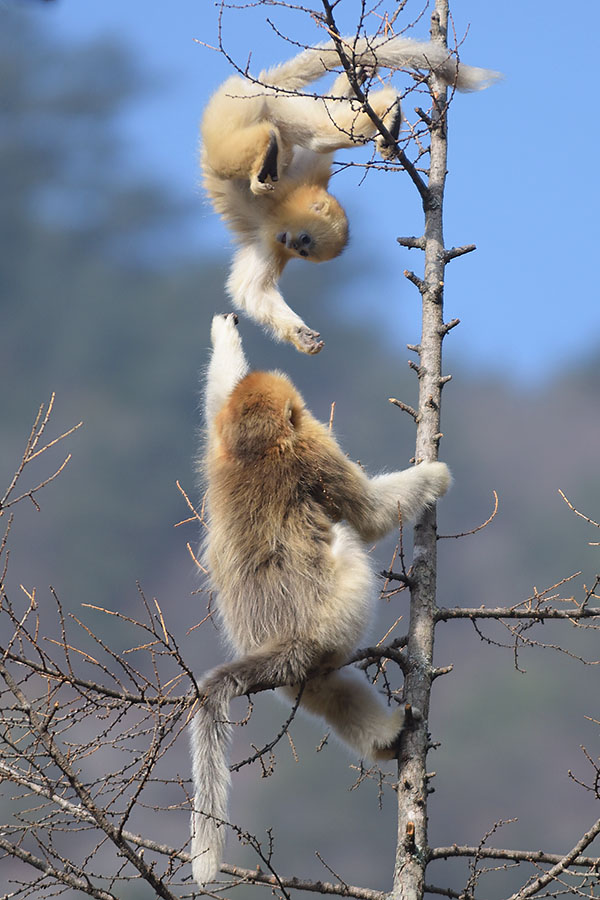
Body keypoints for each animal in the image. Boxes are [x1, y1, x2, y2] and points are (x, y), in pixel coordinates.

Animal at [189, 313, 451, 884]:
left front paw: (225, 335)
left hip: (300, 663)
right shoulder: (310, 447)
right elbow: (371, 515)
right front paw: (434, 476)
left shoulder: (219, 440)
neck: (255, 451)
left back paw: (383, 737)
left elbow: (218, 396)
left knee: (322, 689)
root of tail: (286, 641)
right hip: (338, 612)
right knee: (348, 538)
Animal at [200, 37, 499, 354]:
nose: (291, 245)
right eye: (302, 241)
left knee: (319, 135)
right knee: (313, 134)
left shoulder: (273, 235)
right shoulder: (289, 202)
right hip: (240, 107)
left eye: (304, 249)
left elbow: (251, 292)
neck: (281, 208)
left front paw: (303, 336)